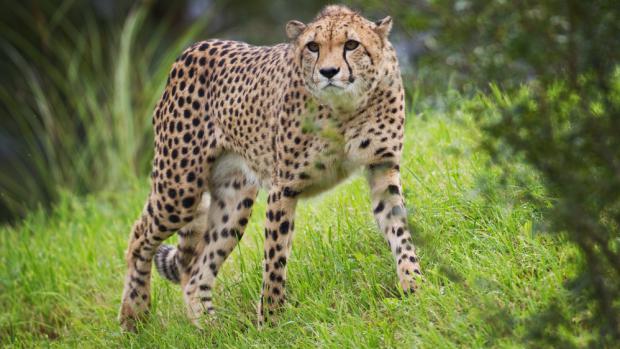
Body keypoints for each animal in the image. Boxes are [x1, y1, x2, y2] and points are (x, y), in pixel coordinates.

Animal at [118, 5, 422, 330]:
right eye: (313, 47)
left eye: (351, 44)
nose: (328, 72)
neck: (345, 108)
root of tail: (192, 49)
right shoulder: (284, 187)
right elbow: (275, 258)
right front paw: (272, 323)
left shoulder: (382, 167)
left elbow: (399, 231)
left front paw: (414, 284)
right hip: (179, 190)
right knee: (138, 235)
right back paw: (133, 316)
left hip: (234, 201)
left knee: (196, 272)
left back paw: (212, 330)